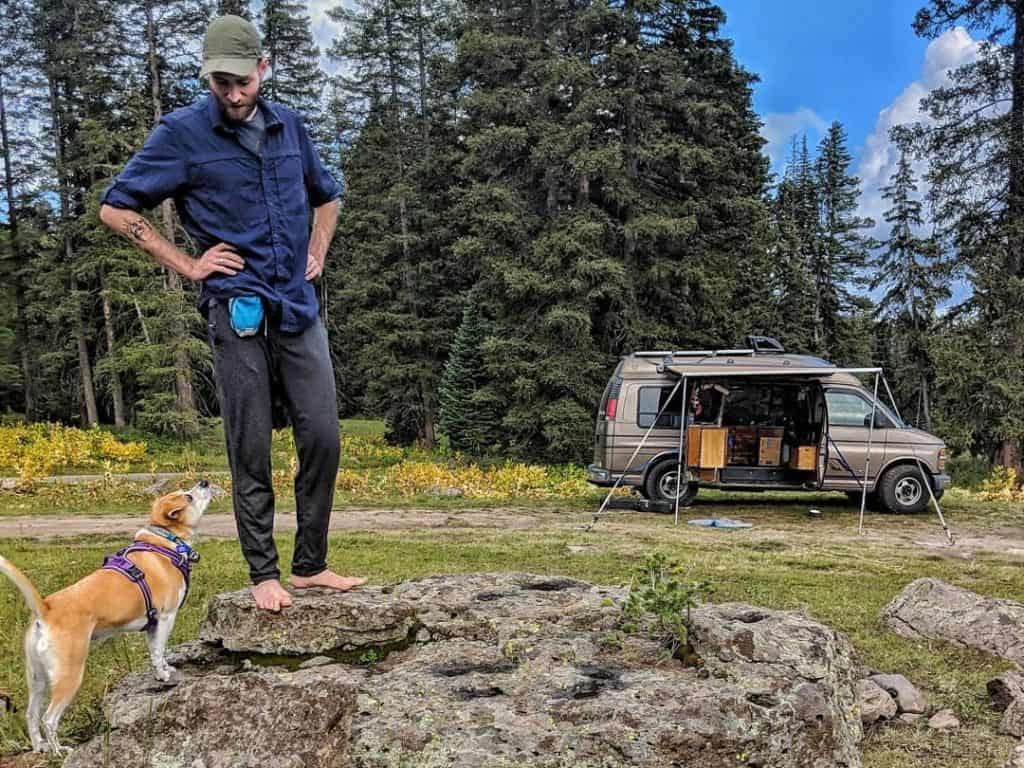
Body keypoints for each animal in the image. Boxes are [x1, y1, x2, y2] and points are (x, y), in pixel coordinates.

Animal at [0, 481, 210, 753]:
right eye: (188, 496)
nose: (204, 482)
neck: (165, 540)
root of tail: (46, 608)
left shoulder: (152, 626)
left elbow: (157, 653)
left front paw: (164, 670)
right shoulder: (166, 618)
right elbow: (159, 651)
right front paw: (163, 676)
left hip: (36, 678)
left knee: (31, 714)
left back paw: (40, 748)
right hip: (69, 675)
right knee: (49, 719)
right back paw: (59, 751)